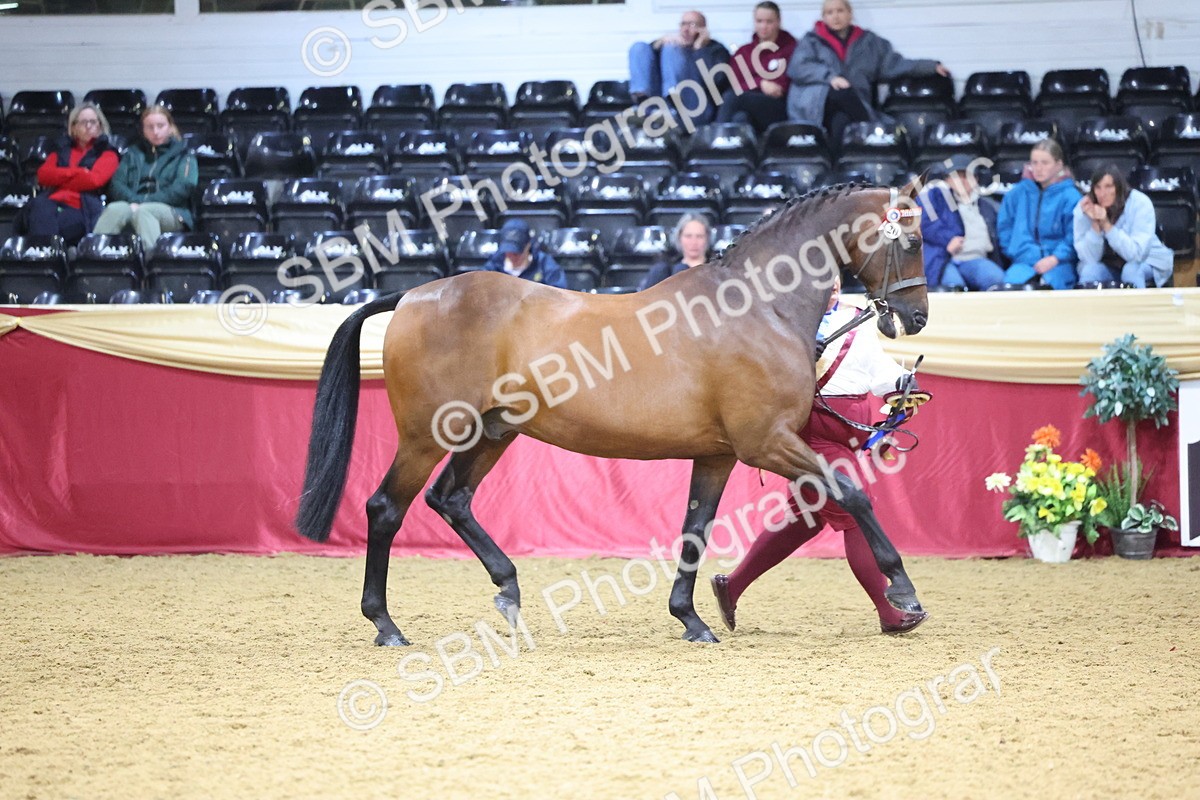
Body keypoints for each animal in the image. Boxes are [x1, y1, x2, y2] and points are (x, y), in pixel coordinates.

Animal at [295, 178, 931, 646]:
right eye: (913, 239)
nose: (917, 316)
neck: (756, 308)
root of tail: (411, 295)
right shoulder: (768, 442)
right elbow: (853, 494)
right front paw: (903, 590)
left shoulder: (719, 455)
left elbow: (695, 530)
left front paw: (690, 619)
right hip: (427, 436)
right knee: (386, 509)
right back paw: (386, 625)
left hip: (492, 432)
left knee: (450, 499)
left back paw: (508, 590)